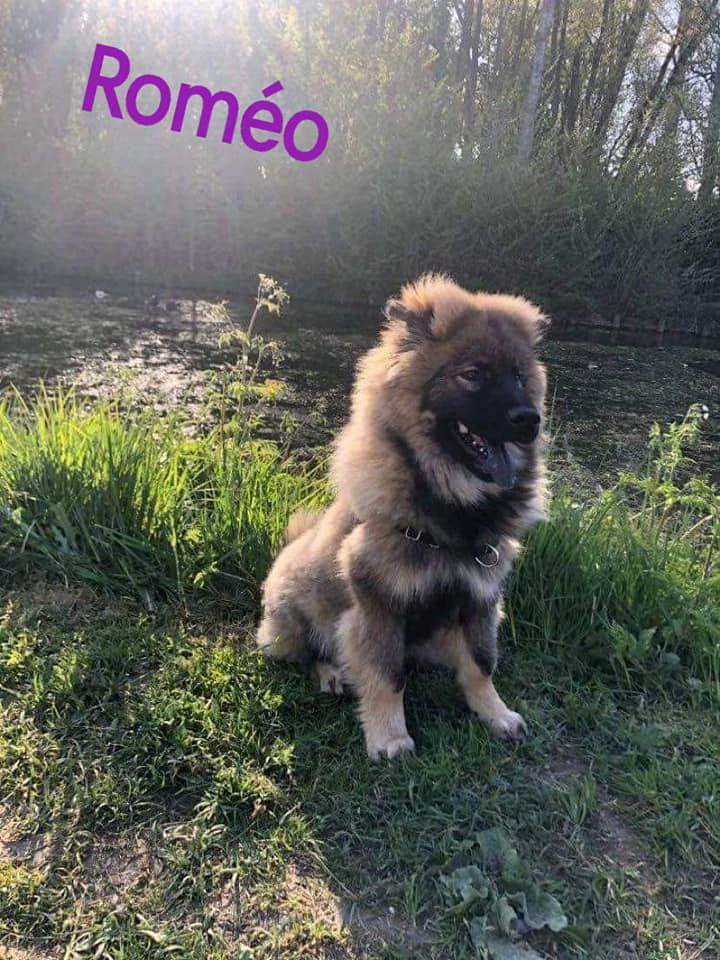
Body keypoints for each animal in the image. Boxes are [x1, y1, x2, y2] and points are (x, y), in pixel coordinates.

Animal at [257, 274, 548, 759]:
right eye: (473, 375)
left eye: (519, 378)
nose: (530, 419)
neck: (452, 515)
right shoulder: (380, 602)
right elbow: (386, 675)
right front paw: (390, 737)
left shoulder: (481, 597)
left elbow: (482, 665)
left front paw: (496, 714)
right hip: (294, 616)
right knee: (314, 651)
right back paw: (332, 674)